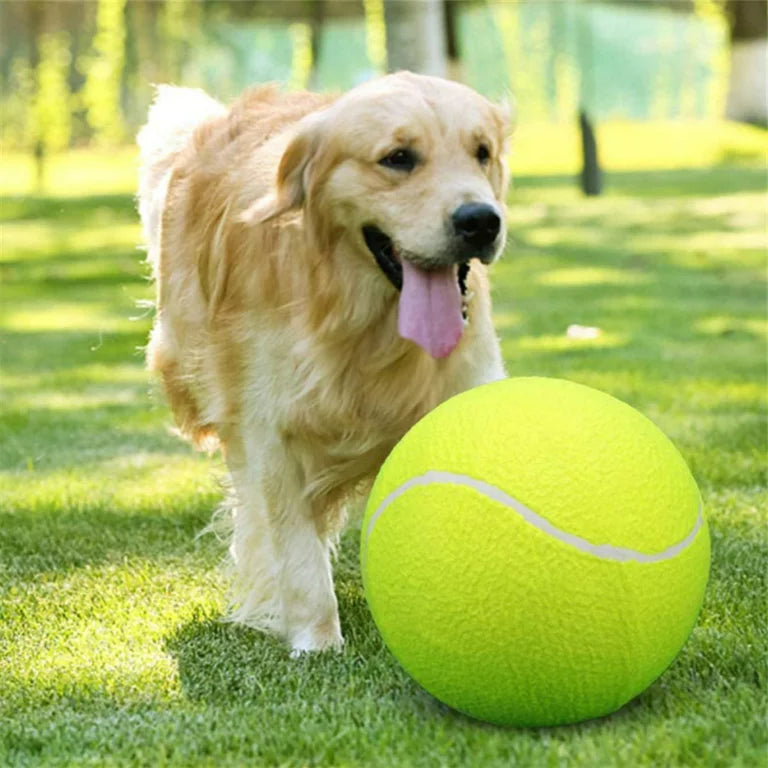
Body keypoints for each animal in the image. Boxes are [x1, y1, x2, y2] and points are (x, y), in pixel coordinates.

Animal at [138, 72, 510, 656]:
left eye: (482, 152)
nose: (481, 222)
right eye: (397, 158)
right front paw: (316, 641)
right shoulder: (271, 432)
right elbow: (296, 550)